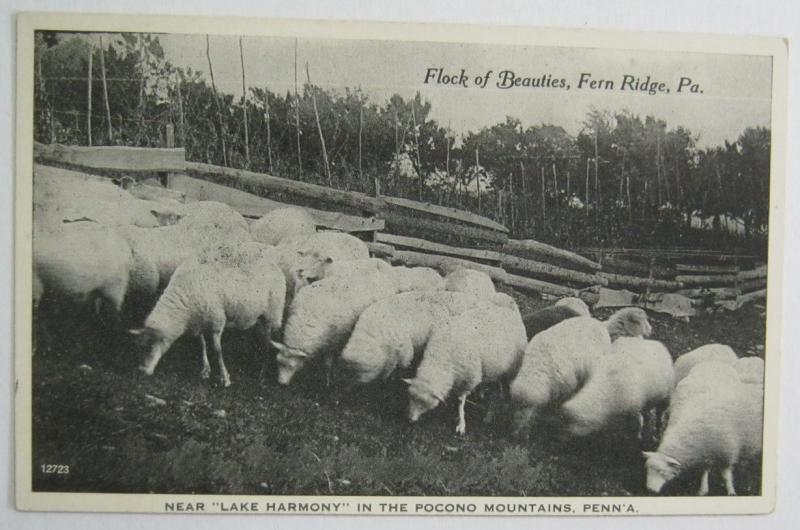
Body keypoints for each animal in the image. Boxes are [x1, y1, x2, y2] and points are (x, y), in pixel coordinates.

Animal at [128, 241, 284, 386]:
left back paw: (263, 372)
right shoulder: (199, 320)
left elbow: (217, 351)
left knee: (269, 342)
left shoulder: (216, 322)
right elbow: (202, 344)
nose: (142, 371)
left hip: (272, 314)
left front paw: (224, 378)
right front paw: (205, 370)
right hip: (258, 315)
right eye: (139, 347)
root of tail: (274, 265)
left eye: (151, 346)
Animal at [404, 296, 528, 434]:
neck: (442, 354)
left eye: (423, 402)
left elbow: (460, 401)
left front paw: (461, 423)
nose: (409, 419)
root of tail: (509, 310)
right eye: (410, 397)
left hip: (510, 369)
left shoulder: (468, 378)